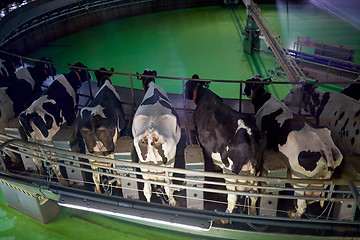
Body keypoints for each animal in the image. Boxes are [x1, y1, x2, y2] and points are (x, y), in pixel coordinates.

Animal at [131, 69, 180, 206]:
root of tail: (151, 131)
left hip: (143, 165)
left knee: (147, 189)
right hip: (169, 163)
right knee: (167, 187)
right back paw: (173, 201)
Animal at [186, 76, 268, 214]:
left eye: (187, 85)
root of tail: (250, 135)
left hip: (231, 172)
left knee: (233, 197)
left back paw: (227, 212)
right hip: (257, 169)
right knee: (254, 195)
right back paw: (252, 212)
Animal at [243, 76, 342, 218]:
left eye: (248, 82)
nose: (243, 88)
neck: (264, 98)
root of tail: (325, 147)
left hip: (299, 180)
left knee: (303, 204)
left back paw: (293, 214)